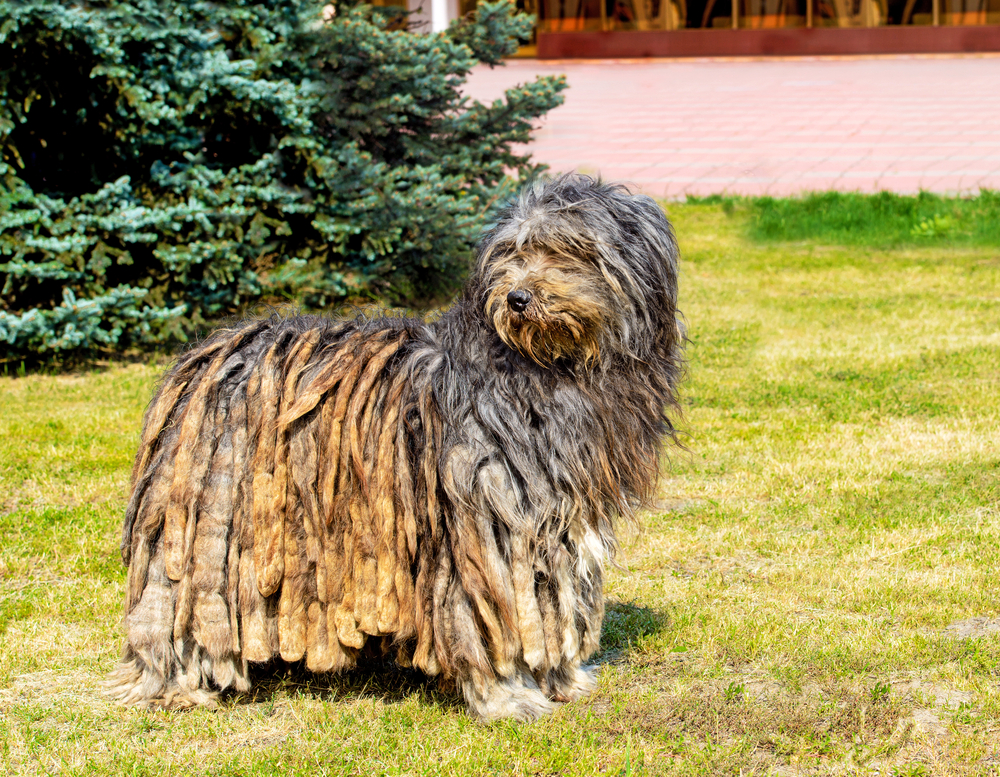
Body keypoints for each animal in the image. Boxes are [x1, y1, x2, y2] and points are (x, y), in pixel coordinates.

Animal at [111, 176, 688, 720]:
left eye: (569, 249)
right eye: (512, 252)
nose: (518, 298)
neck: (547, 368)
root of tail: (207, 356)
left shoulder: (558, 518)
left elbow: (555, 599)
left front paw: (563, 678)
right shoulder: (483, 518)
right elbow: (490, 615)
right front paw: (507, 696)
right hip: (206, 525)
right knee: (174, 605)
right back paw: (177, 683)